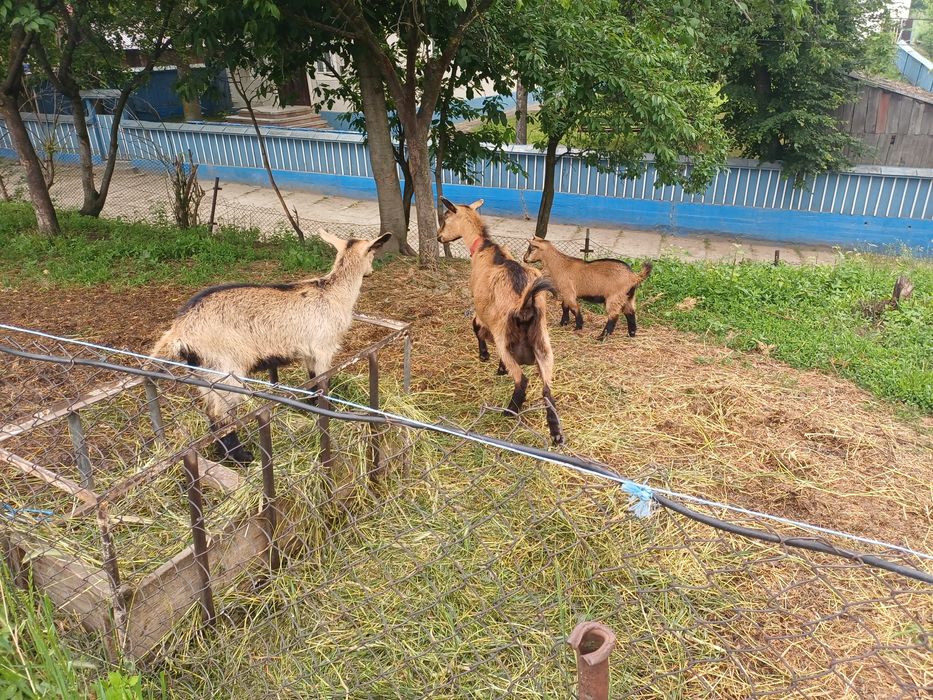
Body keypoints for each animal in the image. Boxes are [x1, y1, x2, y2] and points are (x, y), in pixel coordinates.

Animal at [150, 228, 392, 464]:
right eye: (372, 253)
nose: (370, 272)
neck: (332, 293)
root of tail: (179, 330)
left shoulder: (309, 351)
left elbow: (312, 380)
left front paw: (311, 405)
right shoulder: (324, 347)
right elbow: (323, 382)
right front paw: (328, 410)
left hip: (205, 373)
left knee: (210, 412)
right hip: (226, 369)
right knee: (222, 416)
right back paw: (241, 457)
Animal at [437, 197, 563, 445]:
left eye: (445, 218)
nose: (439, 237)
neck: (485, 249)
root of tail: (525, 305)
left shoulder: (482, 311)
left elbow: (475, 327)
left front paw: (485, 356)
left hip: (504, 338)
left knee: (522, 380)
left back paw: (509, 411)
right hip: (543, 345)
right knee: (547, 390)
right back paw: (556, 432)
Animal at [523, 237, 652, 340]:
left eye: (532, 249)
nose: (524, 259)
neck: (560, 264)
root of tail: (634, 276)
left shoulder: (568, 291)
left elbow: (574, 308)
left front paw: (578, 326)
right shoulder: (566, 292)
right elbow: (564, 306)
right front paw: (563, 323)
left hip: (615, 297)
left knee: (614, 316)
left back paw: (602, 337)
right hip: (628, 296)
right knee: (630, 313)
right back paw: (631, 334)